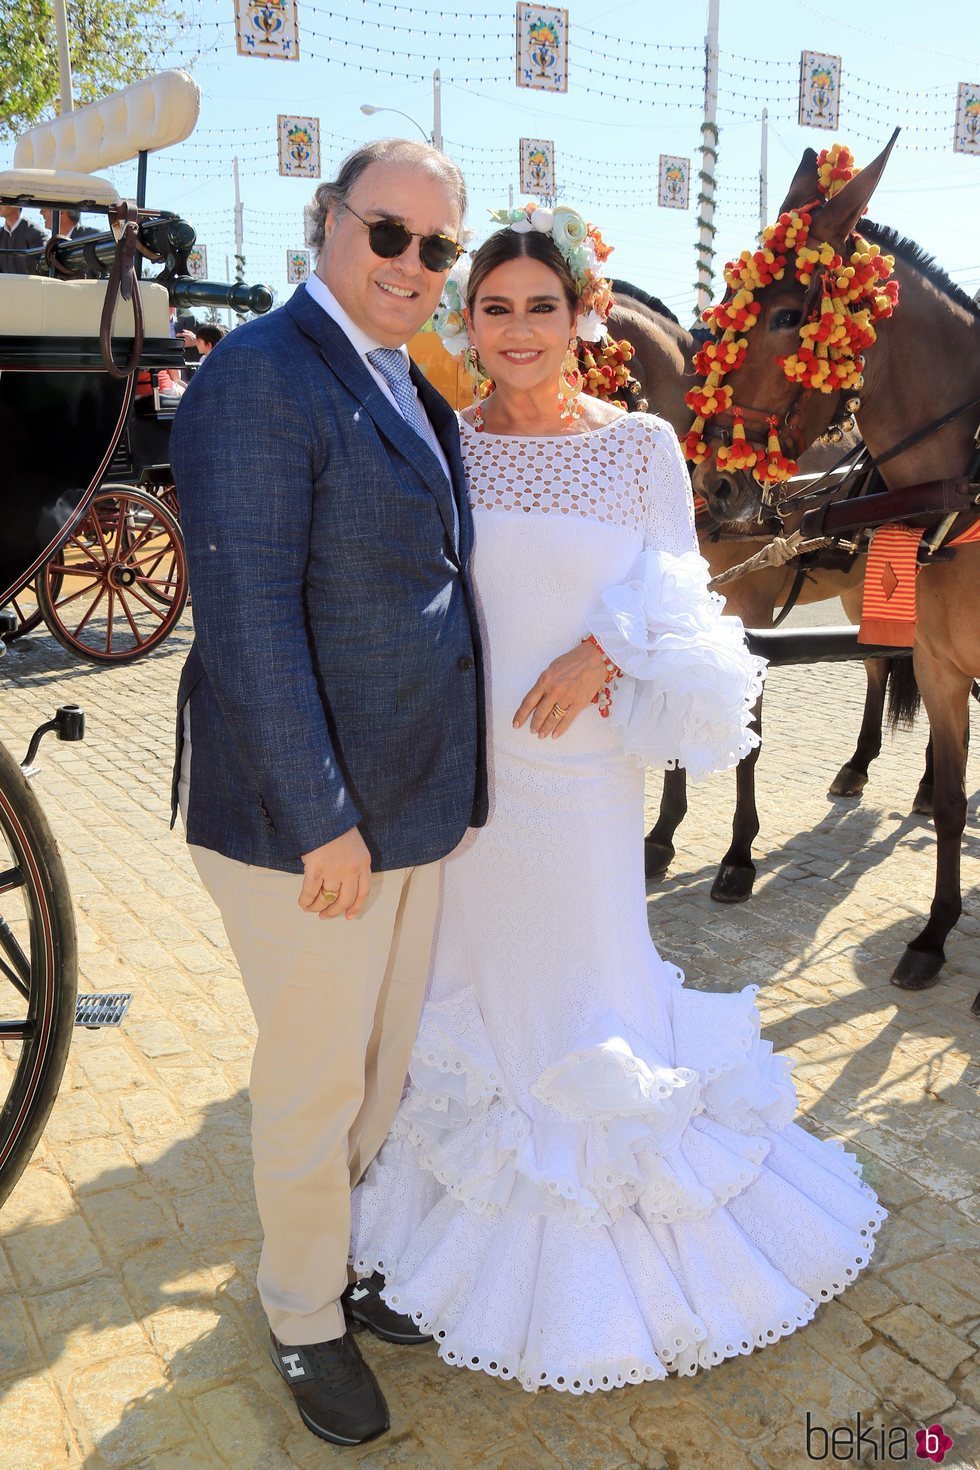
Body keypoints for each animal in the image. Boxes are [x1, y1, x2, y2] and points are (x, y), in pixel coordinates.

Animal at [605, 286, 928, 899]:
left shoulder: (749, 619)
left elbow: (750, 737)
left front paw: (738, 855)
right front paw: (661, 837)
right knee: (877, 666)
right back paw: (859, 764)